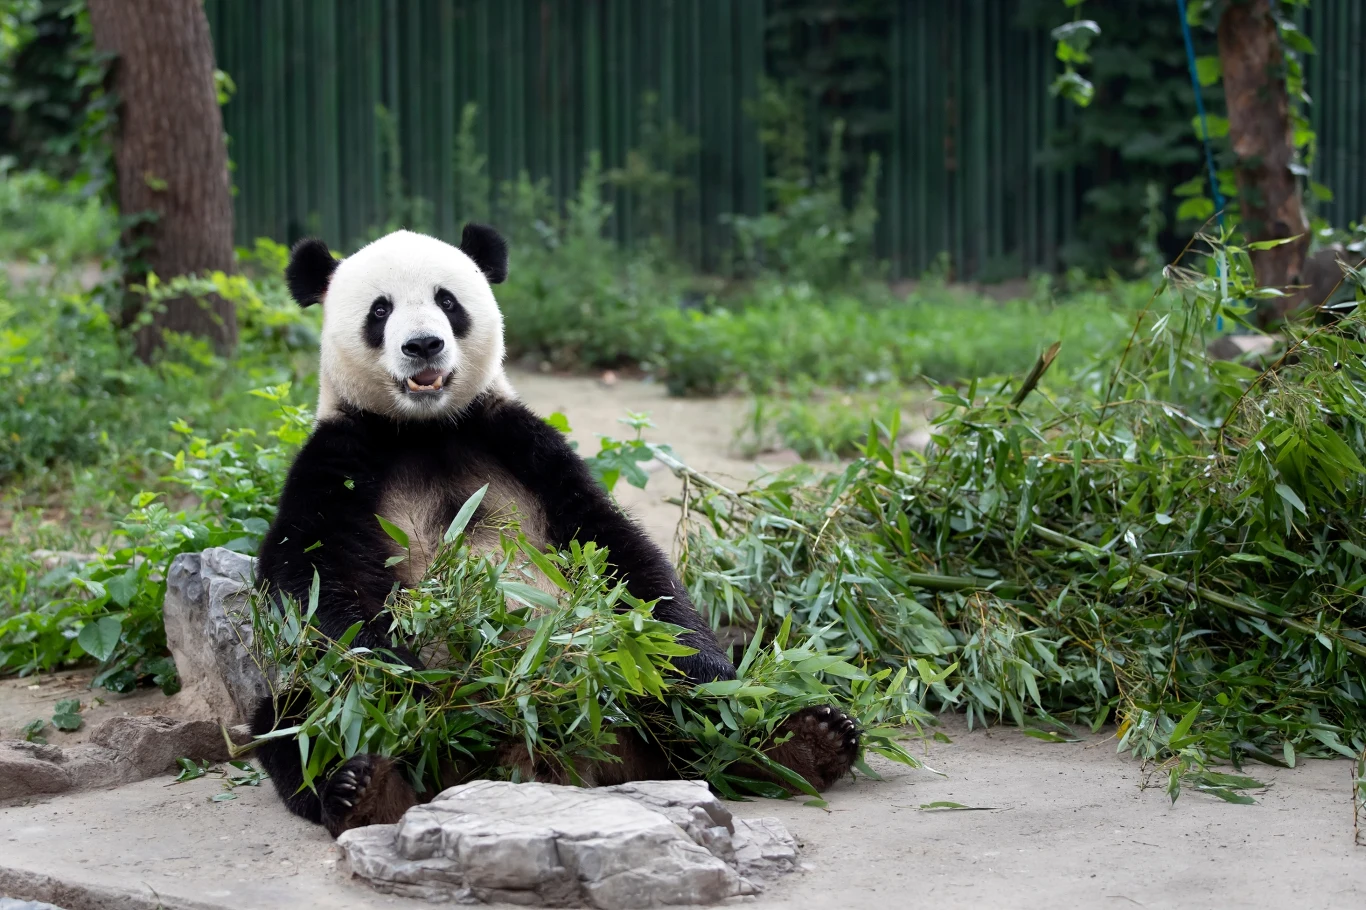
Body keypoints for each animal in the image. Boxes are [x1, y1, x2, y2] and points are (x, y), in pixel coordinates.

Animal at [249, 225, 861, 836]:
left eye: (447, 301)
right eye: (381, 310)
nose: (423, 345)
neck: (424, 429)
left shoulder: (520, 441)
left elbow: (616, 549)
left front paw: (699, 660)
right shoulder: (339, 457)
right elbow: (312, 577)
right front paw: (400, 677)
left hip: (634, 687)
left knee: (705, 706)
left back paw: (800, 743)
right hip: (334, 715)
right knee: (296, 720)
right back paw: (364, 791)